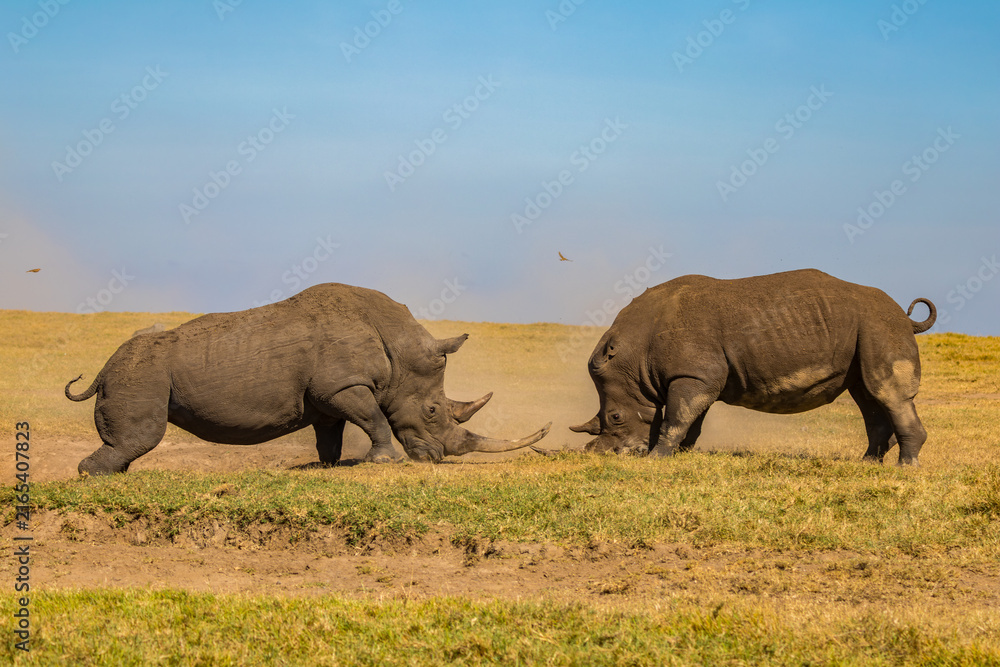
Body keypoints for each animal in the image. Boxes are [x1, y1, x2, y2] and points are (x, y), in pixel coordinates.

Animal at [66, 283, 551, 475]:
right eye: (432, 411)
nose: (435, 458)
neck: (399, 350)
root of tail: (102, 369)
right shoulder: (343, 385)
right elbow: (374, 418)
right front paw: (385, 462)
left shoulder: (330, 393)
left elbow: (331, 433)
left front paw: (328, 467)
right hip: (141, 373)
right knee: (143, 435)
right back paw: (95, 476)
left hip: (136, 371)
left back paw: (118, 475)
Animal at [570, 269, 936, 465]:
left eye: (616, 417)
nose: (601, 454)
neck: (633, 355)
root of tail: (903, 315)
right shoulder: (697, 376)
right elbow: (690, 420)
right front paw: (682, 455)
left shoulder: (692, 375)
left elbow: (675, 418)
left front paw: (656, 459)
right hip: (865, 330)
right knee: (867, 396)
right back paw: (868, 463)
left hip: (879, 324)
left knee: (886, 393)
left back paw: (906, 467)